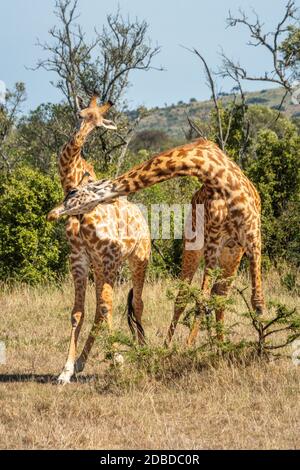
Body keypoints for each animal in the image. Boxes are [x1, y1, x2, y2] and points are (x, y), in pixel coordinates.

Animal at [48, 137, 264, 346]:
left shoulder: (253, 237)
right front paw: (187, 349)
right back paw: (176, 347)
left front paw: (262, 349)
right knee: (186, 296)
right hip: (198, 246)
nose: (52, 213)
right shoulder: (213, 242)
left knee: (219, 294)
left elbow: (258, 302)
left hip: (233, 252)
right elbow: (201, 300)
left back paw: (219, 345)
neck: (218, 176)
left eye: (72, 192)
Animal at [53, 94, 150, 382]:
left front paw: (117, 360)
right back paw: (81, 363)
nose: (79, 138)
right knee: (99, 308)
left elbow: (108, 308)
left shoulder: (109, 256)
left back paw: (142, 353)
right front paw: (65, 370)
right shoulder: (79, 259)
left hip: (136, 260)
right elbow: (78, 313)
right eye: (81, 114)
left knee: (136, 303)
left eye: (98, 122)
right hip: (100, 266)